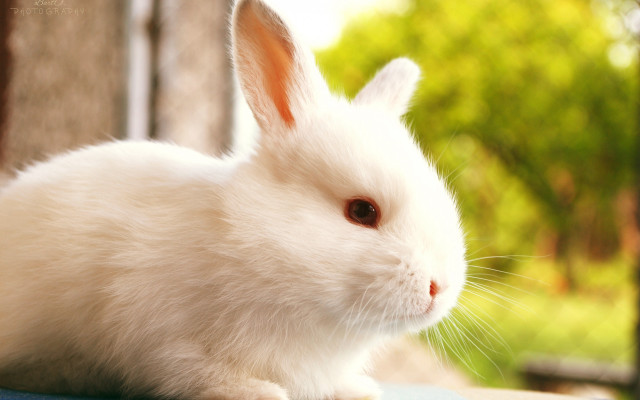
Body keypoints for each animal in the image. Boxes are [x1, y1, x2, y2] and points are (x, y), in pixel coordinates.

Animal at [0, 0, 467, 399]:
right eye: (362, 211)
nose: (439, 288)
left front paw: (358, 390)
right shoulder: (161, 338)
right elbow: (192, 372)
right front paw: (258, 391)